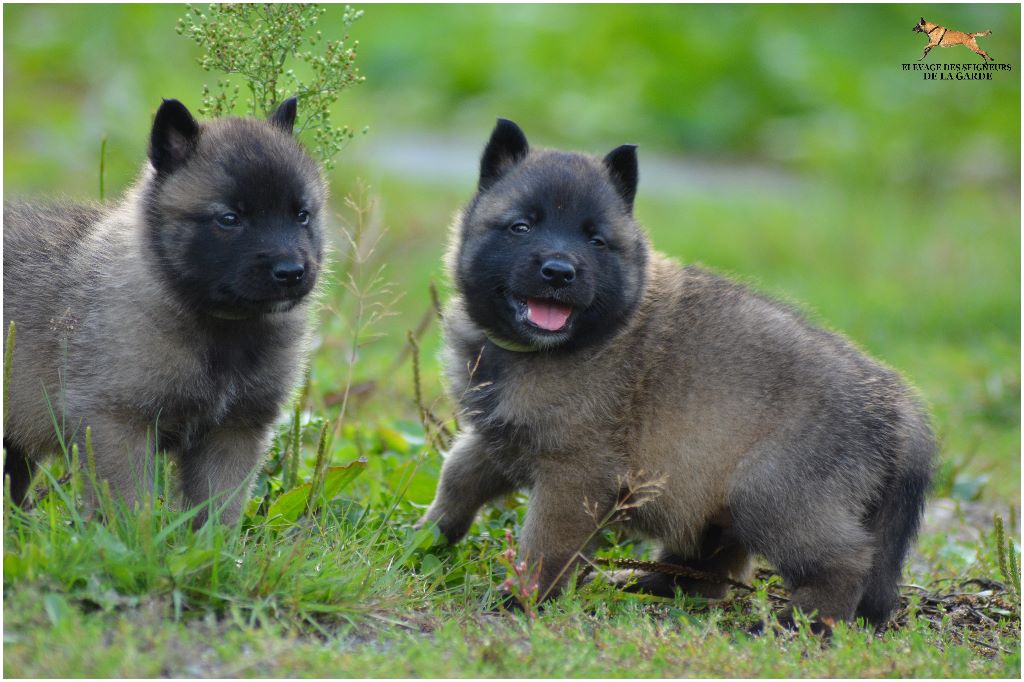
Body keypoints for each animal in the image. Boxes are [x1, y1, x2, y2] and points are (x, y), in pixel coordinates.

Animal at [3, 97, 326, 525]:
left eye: (302, 214)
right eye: (229, 219)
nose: (291, 272)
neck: (222, 328)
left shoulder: (235, 432)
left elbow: (218, 511)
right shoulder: (116, 424)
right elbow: (128, 505)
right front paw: (134, 540)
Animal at [418, 119, 935, 630]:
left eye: (596, 241)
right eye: (521, 226)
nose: (559, 271)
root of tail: (897, 406)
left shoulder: (574, 477)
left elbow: (545, 545)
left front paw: (522, 598)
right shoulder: (497, 438)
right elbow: (458, 474)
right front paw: (430, 532)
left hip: (771, 495)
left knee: (844, 562)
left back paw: (797, 625)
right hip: (712, 500)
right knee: (710, 572)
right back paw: (650, 584)